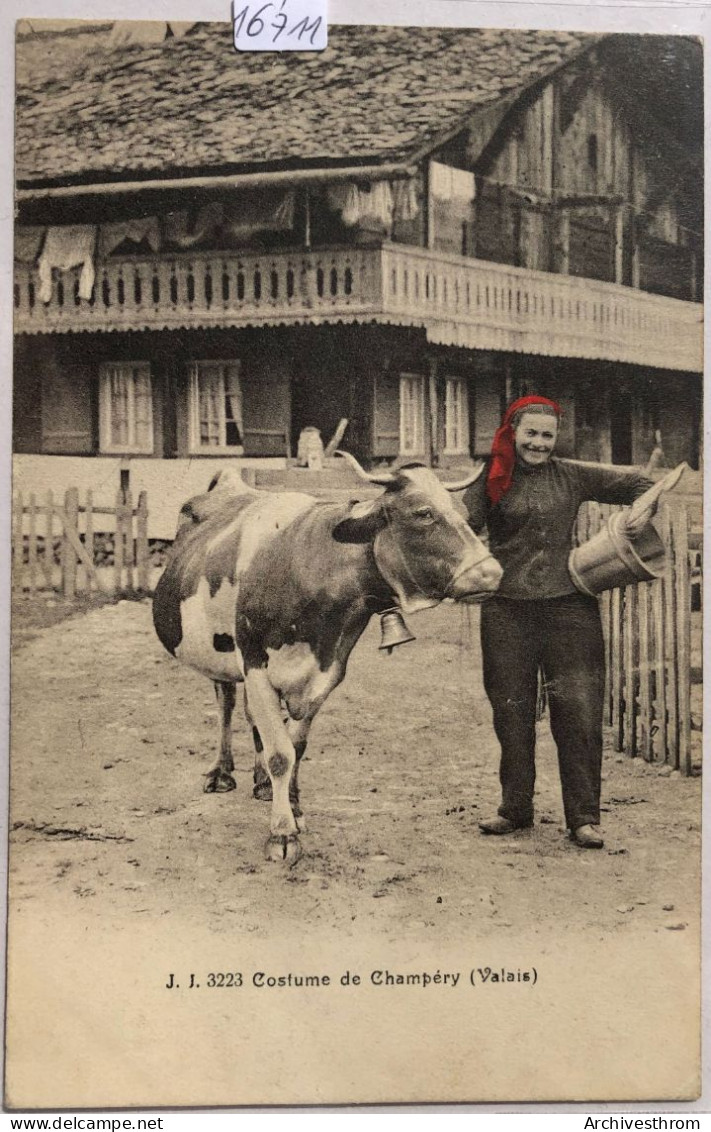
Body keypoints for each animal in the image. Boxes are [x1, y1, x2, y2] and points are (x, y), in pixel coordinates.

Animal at [152, 452, 502, 864]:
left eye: (463, 512)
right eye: (423, 513)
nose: (491, 573)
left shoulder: (327, 671)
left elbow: (295, 746)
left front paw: (293, 806)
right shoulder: (254, 662)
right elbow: (280, 753)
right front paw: (282, 833)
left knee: (251, 716)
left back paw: (261, 784)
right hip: (219, 651)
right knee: (225, 704)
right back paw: (221, 773)